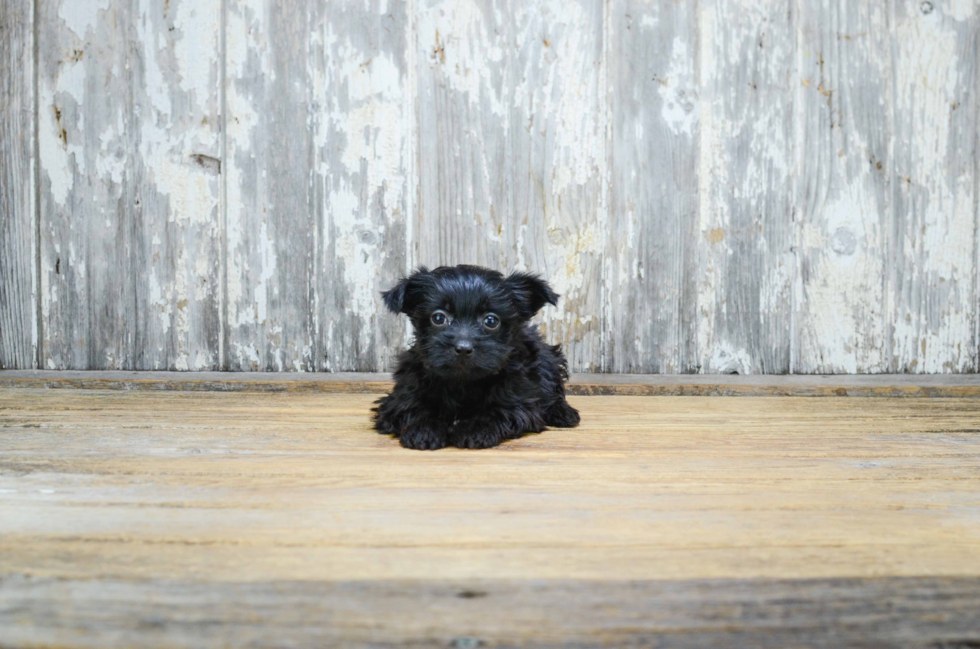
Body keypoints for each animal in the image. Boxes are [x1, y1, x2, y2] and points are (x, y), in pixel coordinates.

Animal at [372, 262, 580, 446]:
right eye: (438, 318)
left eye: (491, 321)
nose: (463, 348)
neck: (463, 381)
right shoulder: (399, 397)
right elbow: (413, 407)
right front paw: (424, 430)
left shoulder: (518, 399)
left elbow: (499, 411)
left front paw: (473, 430)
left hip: (547, 359)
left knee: (554, 390)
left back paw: (563, 413)